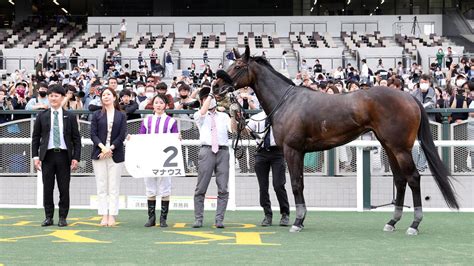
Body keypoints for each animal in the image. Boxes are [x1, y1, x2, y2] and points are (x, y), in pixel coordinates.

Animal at [222, 46, 460, 234]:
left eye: (238, 66)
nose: (216, 86)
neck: (287, 101)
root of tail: (409, 96)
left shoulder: (292, 150)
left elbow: (296, 184)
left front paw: (297, 222)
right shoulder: (298, 152)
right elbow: (300, 183)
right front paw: (301, 219)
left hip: (401, 148)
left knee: (413, 179)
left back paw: (414, 224)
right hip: (389, 146)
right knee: (400, 180)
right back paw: (392, 222)